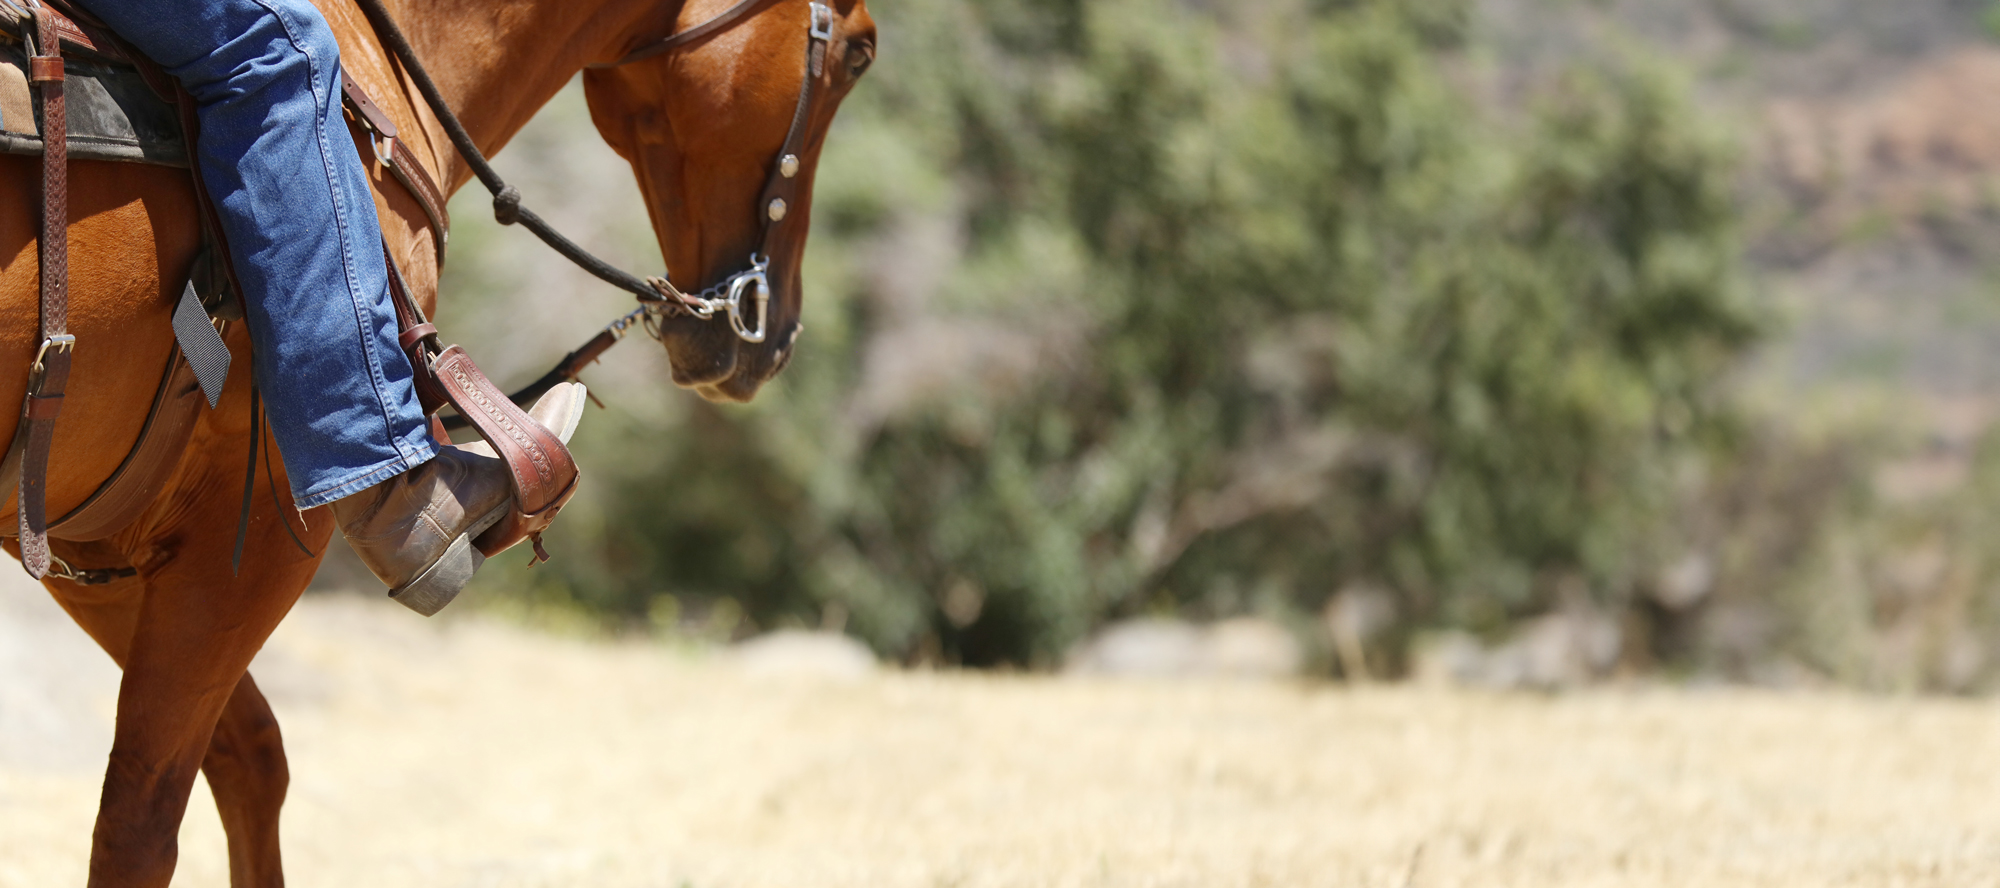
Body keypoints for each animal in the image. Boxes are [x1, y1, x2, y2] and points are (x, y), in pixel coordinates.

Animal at [0, 0, 874, 882]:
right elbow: (142, 821)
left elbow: (248, 755)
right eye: (860, 54)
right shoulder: (250, 540)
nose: (773, 336)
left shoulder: (99, 549)